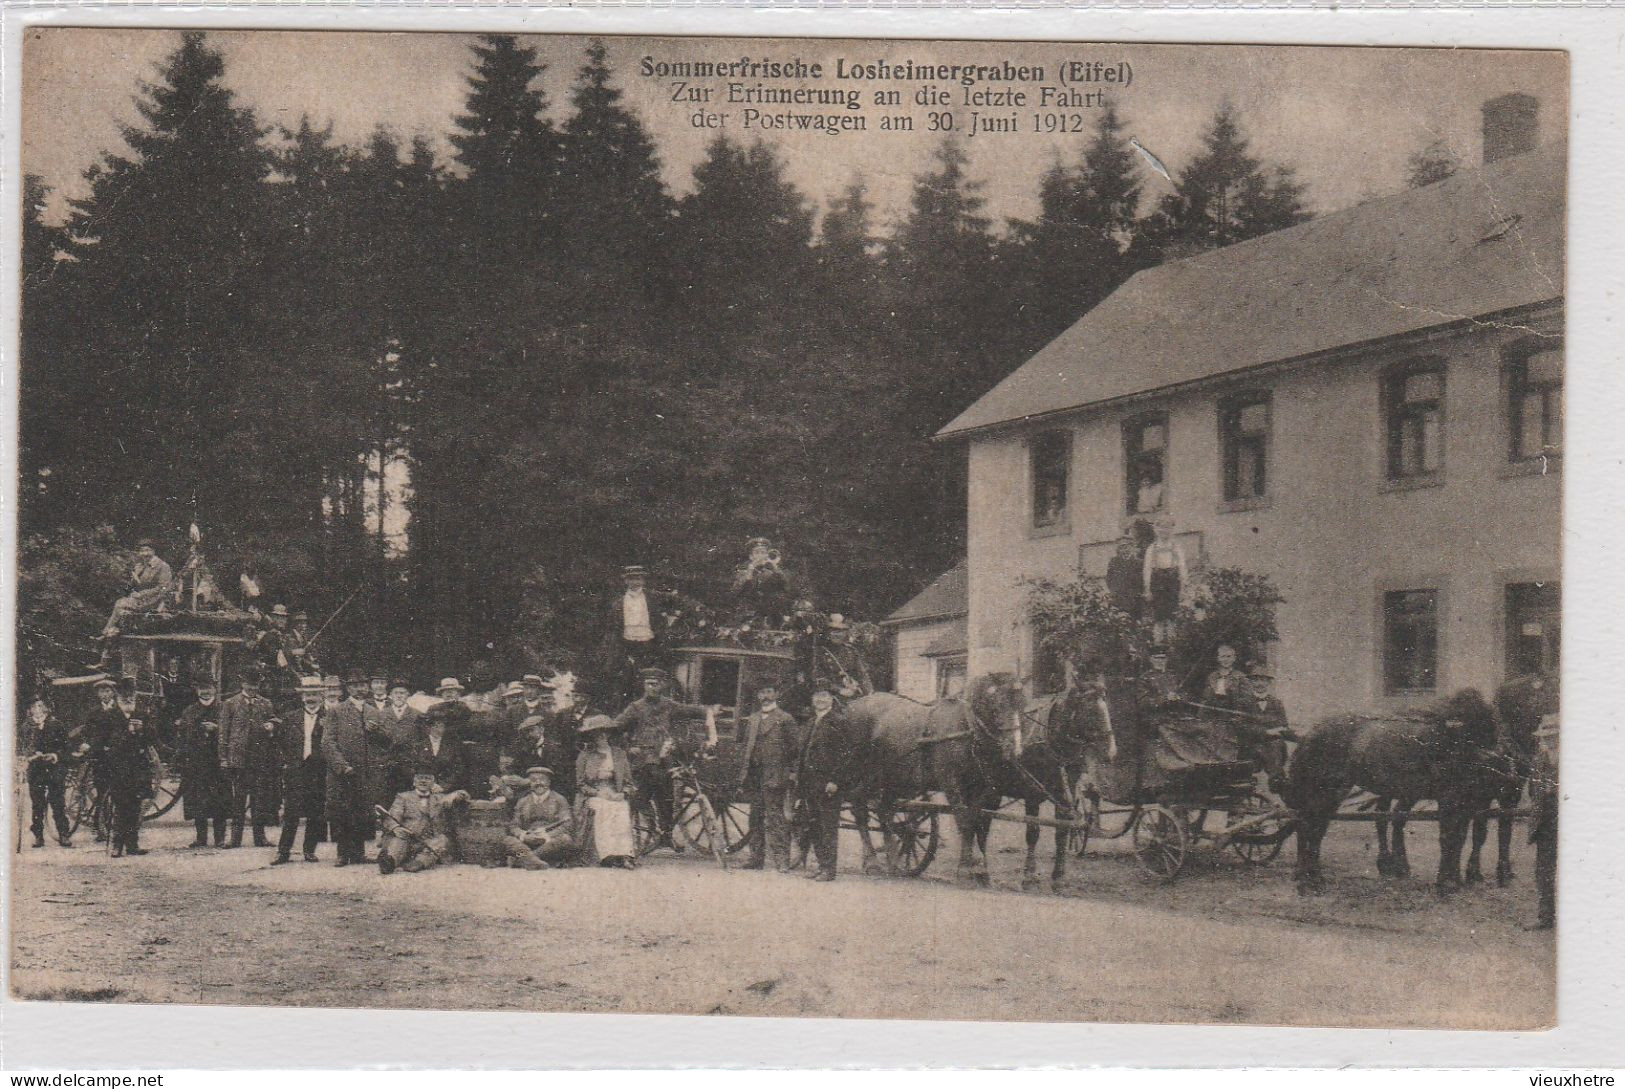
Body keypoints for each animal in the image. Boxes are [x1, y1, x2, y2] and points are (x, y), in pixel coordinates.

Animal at [845, 672, 1020, 884]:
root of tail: (853, 705)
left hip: (892, 779)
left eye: (1020, 703)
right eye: (996, 705)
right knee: (859, 808)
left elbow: (976, 822)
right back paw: (872, 862)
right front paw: (964, 870)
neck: (966, 727)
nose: (1014, 746)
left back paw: (893, 862)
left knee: (884, 811)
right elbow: (964, 821)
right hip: (863, 775)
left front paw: (976, 868)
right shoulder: (951, 782)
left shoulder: (980, 788)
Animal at [962, 682, 1118, 897]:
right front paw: (1029, 877)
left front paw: (1059, 879)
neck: (1051, 743)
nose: (1111, 752)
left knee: (976, 822)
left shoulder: (1064, 795)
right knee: (971, 821)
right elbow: (1033, 832)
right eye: (1090, 708)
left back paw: (975, 870)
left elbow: (1062, 831)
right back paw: (971, 868)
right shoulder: (1032, 794)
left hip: (990, 792)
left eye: (1106, 706)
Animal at [1280, 692, 1508, 897]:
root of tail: (1309, 735)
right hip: (1325, 791)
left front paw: (1455, 880)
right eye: (1471, 734)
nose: (1495, 760)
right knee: (1310, 828)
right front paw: (1445, 883)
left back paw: (1314, 877)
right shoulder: (1448, 798)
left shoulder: (1466, 801)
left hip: (1332, 793)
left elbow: (1459, 838)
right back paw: (1308, 882)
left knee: (1314, 828)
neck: (1446, 744)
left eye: (1491, 733)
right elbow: (1447, 838)